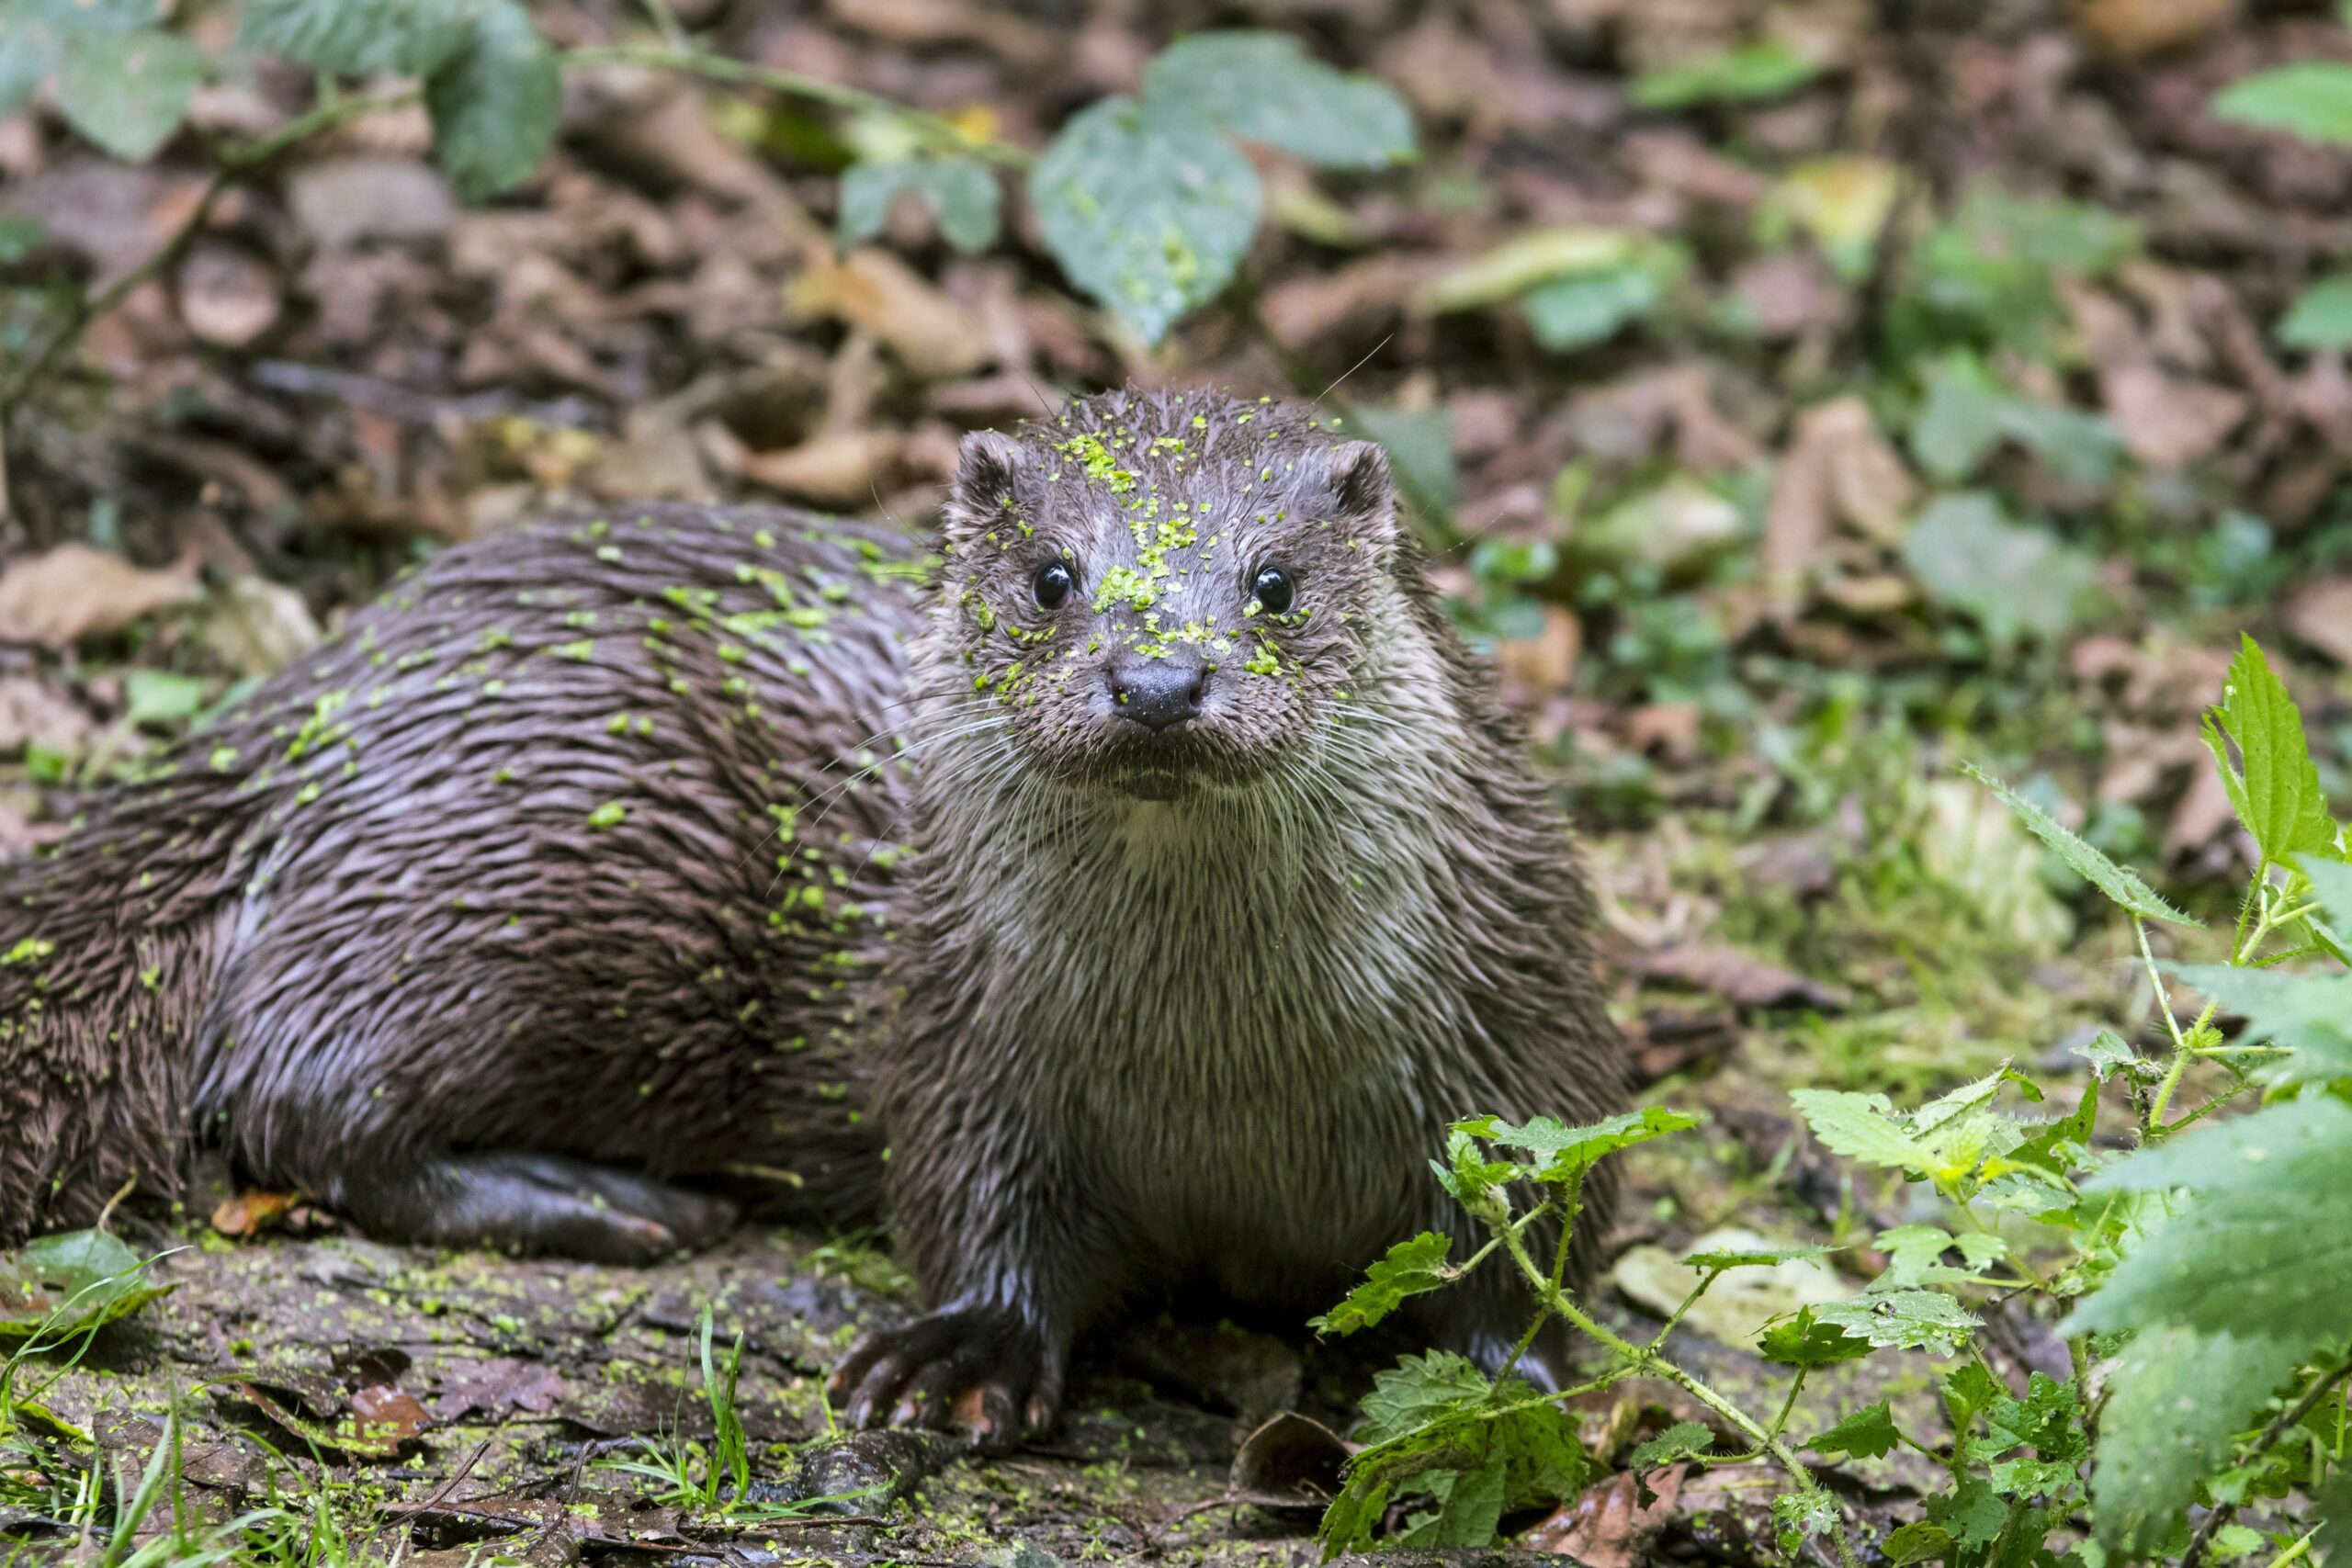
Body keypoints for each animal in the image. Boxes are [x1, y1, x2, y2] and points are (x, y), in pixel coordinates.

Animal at [0, 389, 1618, 1448]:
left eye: (1274, 584)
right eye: (1053, 577)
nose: (1158, 680)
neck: (1221, 1069)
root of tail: (307, 709)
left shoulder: (1524, 1021)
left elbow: (1540, 1232)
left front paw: (1515, 1390)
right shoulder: (967, 1037)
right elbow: (971, 1208)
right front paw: (956, 1357)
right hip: (527, 862)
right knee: (300, 1083)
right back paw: (603, 1200)